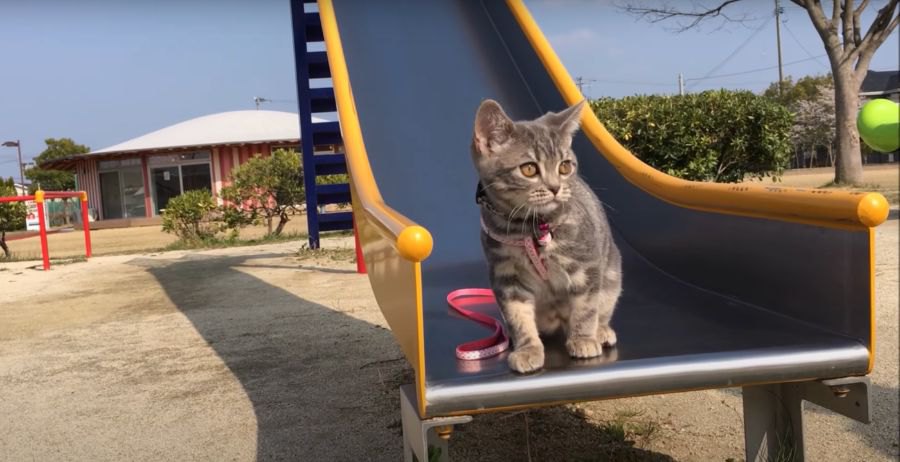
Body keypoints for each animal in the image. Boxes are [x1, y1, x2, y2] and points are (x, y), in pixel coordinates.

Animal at [468, 99, 624, 374]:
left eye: (565, 166)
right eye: (529, 169)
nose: (555, 187)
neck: (527, 228)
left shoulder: (587, 265)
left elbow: (586, 307)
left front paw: (583, 339)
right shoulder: (506, 275)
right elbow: (517, 315)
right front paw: (527, 349)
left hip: (612, 273)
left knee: (602, 305)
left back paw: (601, 331)